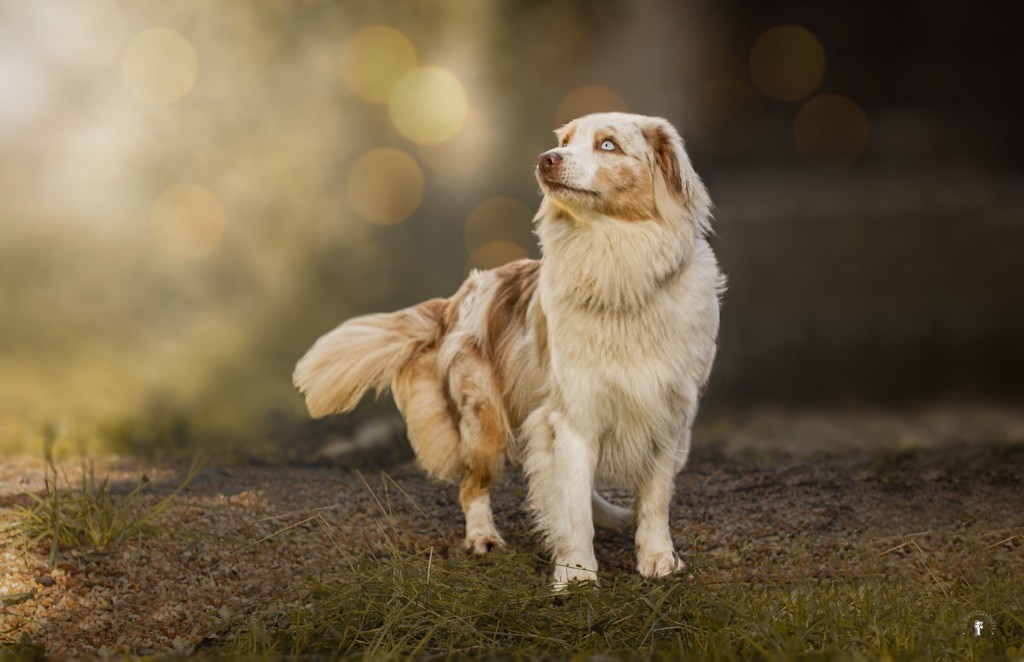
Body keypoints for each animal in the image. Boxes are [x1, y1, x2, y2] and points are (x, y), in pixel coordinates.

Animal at [292, 114, 724, 586]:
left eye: (608, 144)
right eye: (565, 140)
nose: (546, 159)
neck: (618, 267)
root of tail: (457, 297)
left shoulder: (668, 413)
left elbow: (655, 497)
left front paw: (657, 557)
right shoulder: (572, 414)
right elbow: (572, 506)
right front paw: (576, 576)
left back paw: (611, 515)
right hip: (484, 422)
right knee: (473, 487)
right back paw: (483, 537)